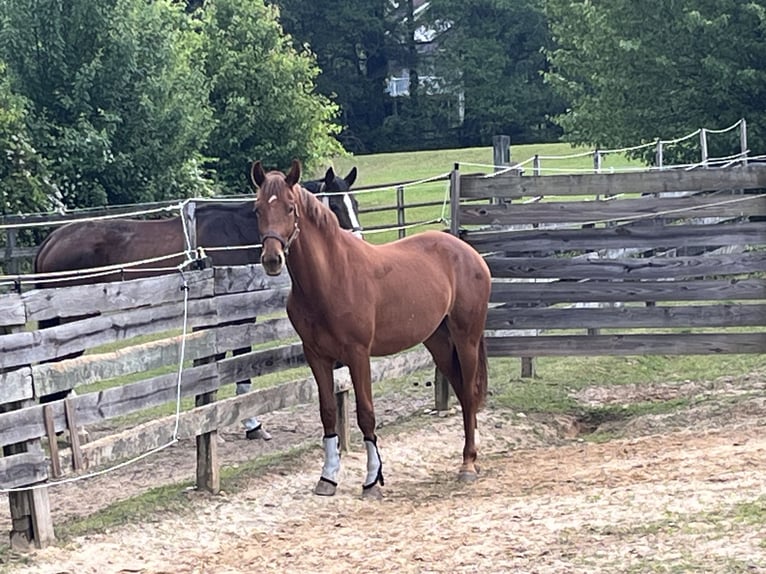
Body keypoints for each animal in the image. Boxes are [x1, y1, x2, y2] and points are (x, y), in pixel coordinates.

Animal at [250, 159, 492, 500]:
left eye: (290, 207)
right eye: (257, 209)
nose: (272, 259)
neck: (331, 276)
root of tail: (468, 252)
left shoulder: (358, 354)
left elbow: (366, 414)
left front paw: (372, 480)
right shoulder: (317, 357)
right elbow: (327, 412)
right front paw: (328, 478)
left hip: (466, 338)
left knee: (469, 393)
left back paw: (468, 464)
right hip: (438, 342)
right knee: (460, 389)